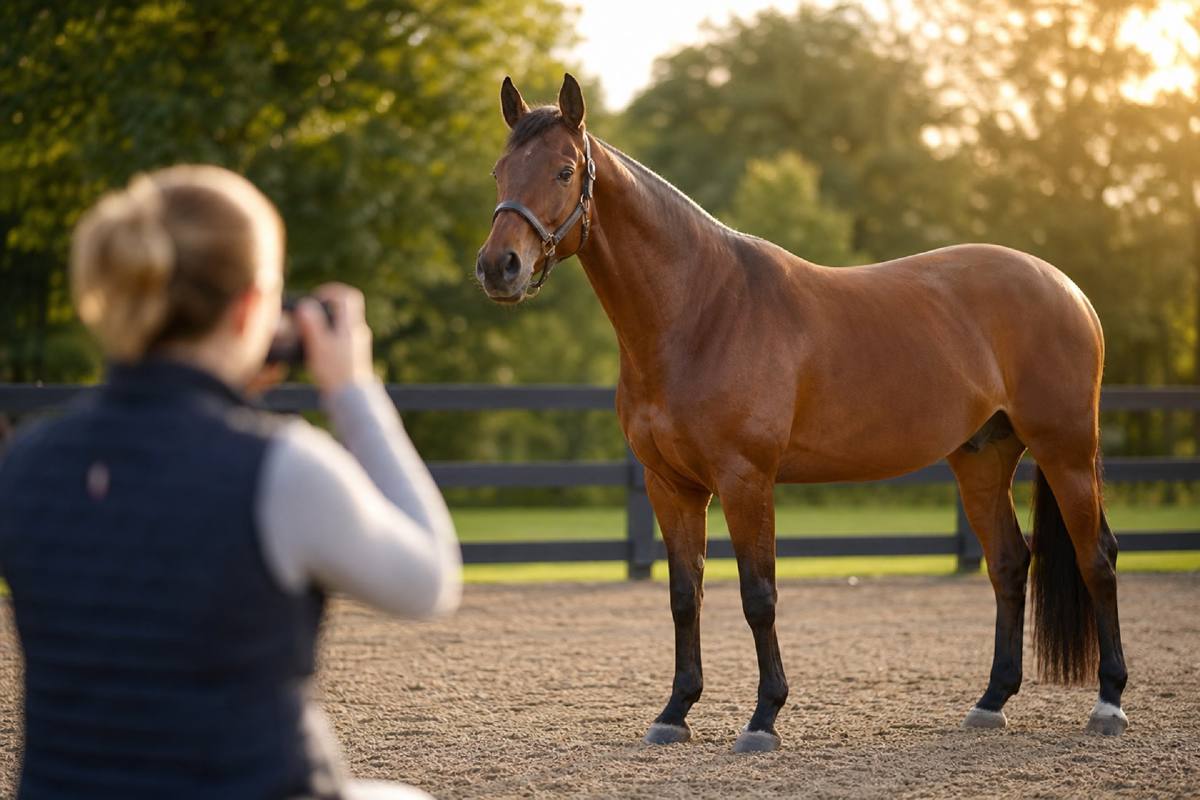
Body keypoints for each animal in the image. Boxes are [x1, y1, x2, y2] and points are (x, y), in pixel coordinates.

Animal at [475, 73, 1128, 752]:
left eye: (564, 170)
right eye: (499, 171)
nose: (499, 267)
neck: (703, 311)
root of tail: (1068, 289)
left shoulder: (745, 479)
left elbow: (758, 595)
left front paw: (764, 717)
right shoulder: (669, 485)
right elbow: (685, 595)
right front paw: (675, 712)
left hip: (1066, 451)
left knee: (1097, 558)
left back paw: (1108, 703)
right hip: (982, 459)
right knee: (1008, 564)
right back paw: (991, 701)